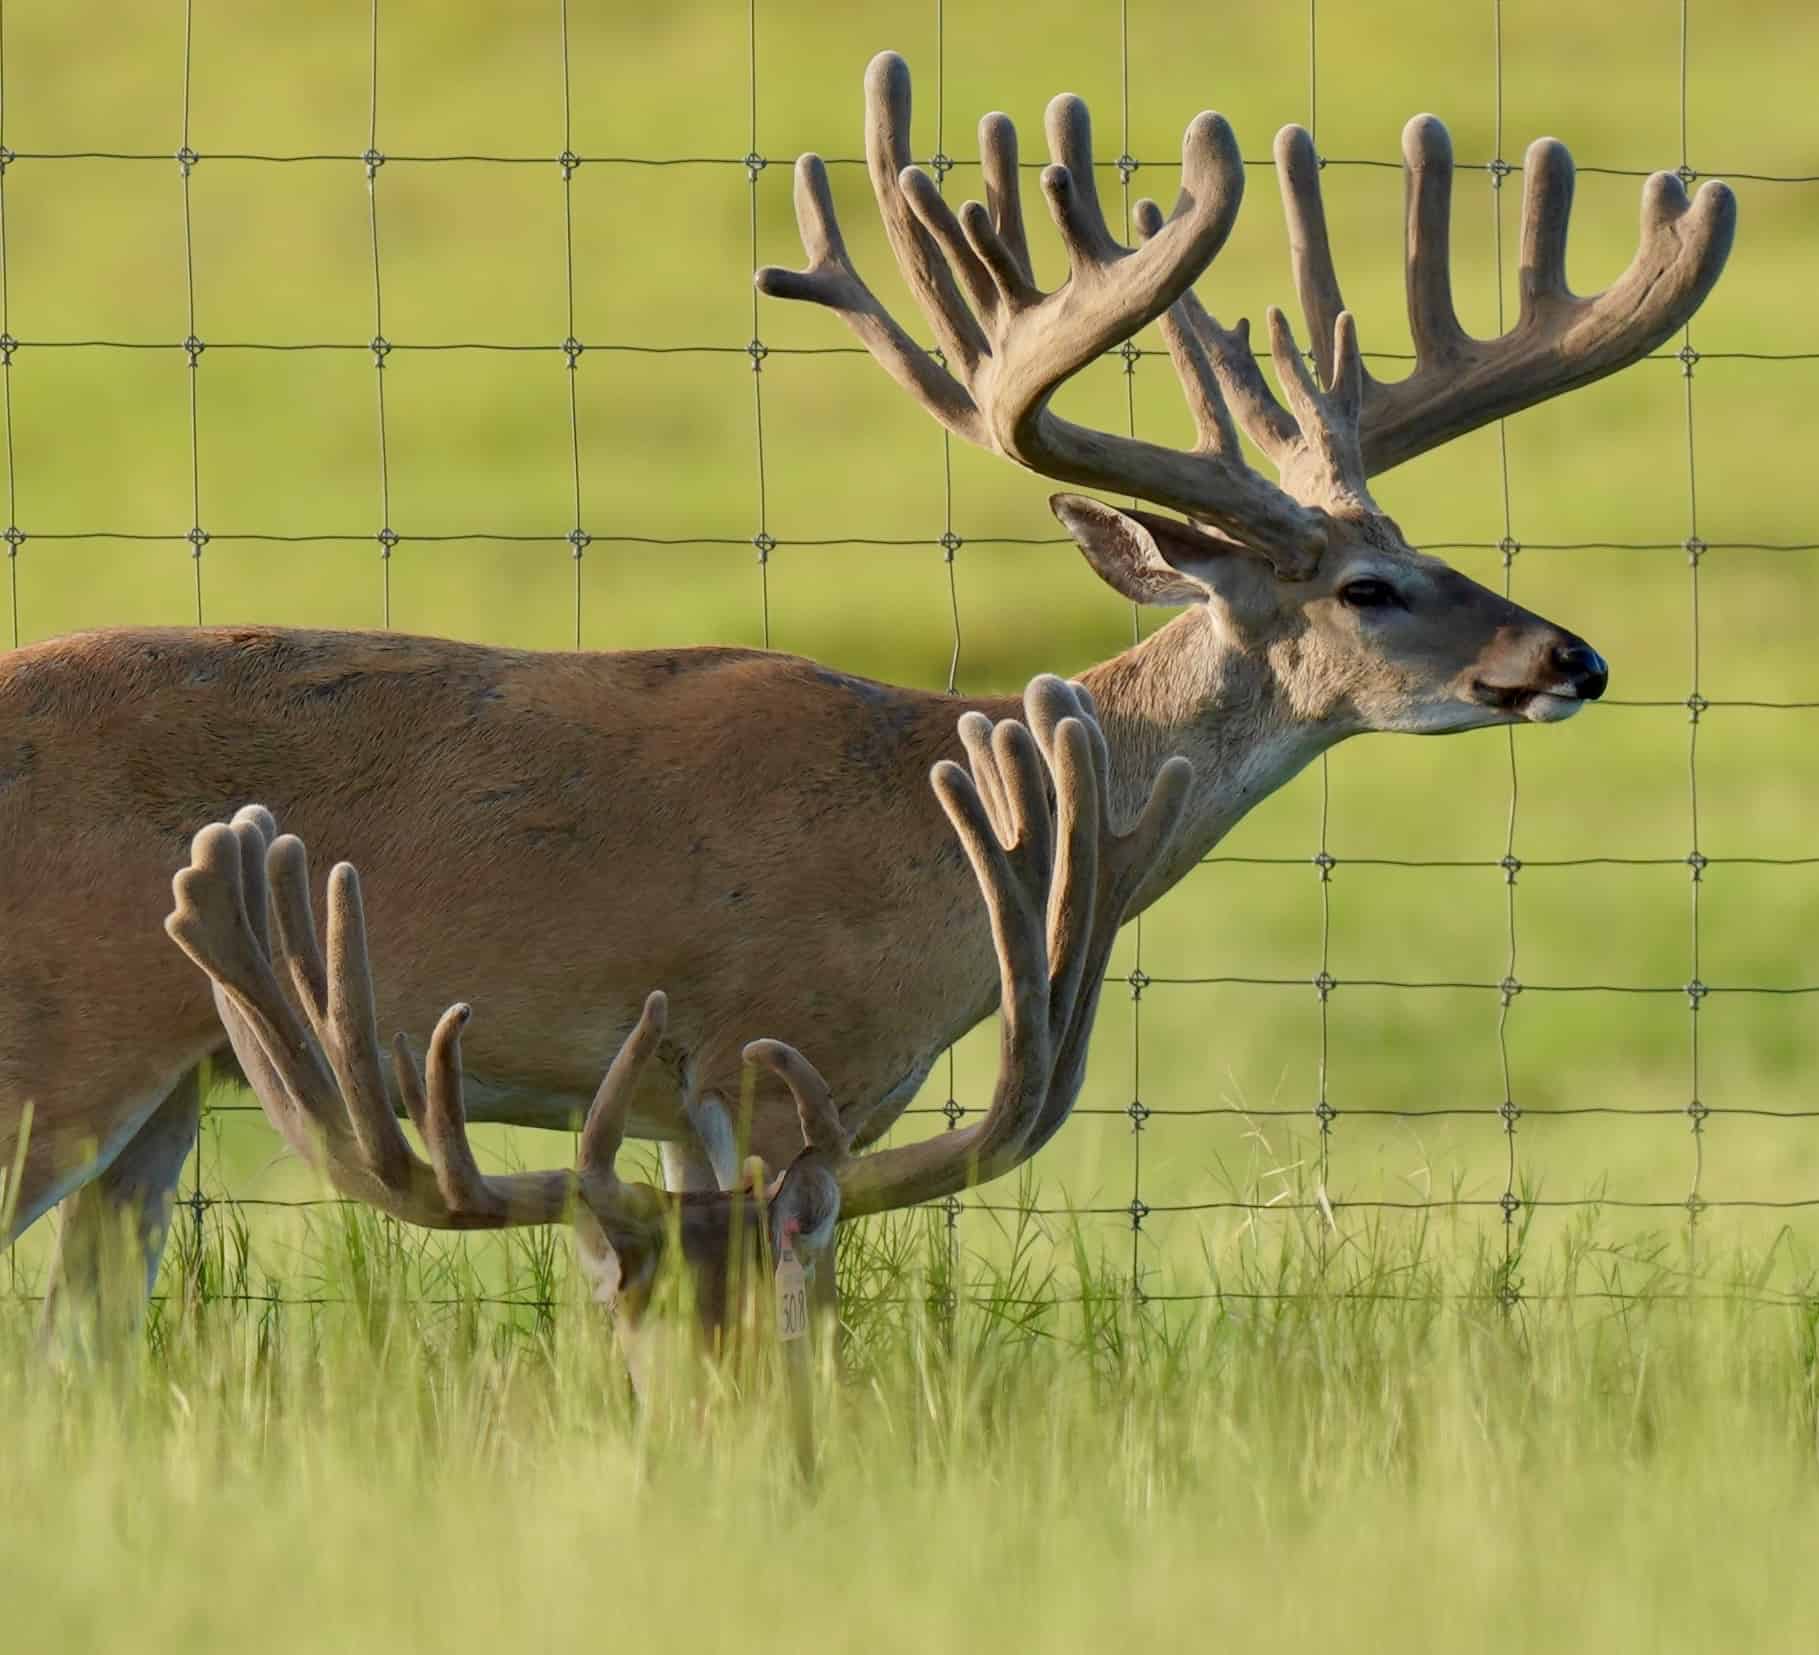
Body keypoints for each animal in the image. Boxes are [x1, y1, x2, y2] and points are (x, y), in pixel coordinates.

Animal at [0, 51, 1733, 1342]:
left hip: (166, 1093)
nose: (1565, 658)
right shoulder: (783, 1053)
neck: (929, 809)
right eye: (1366, 586)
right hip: (62, 1045)